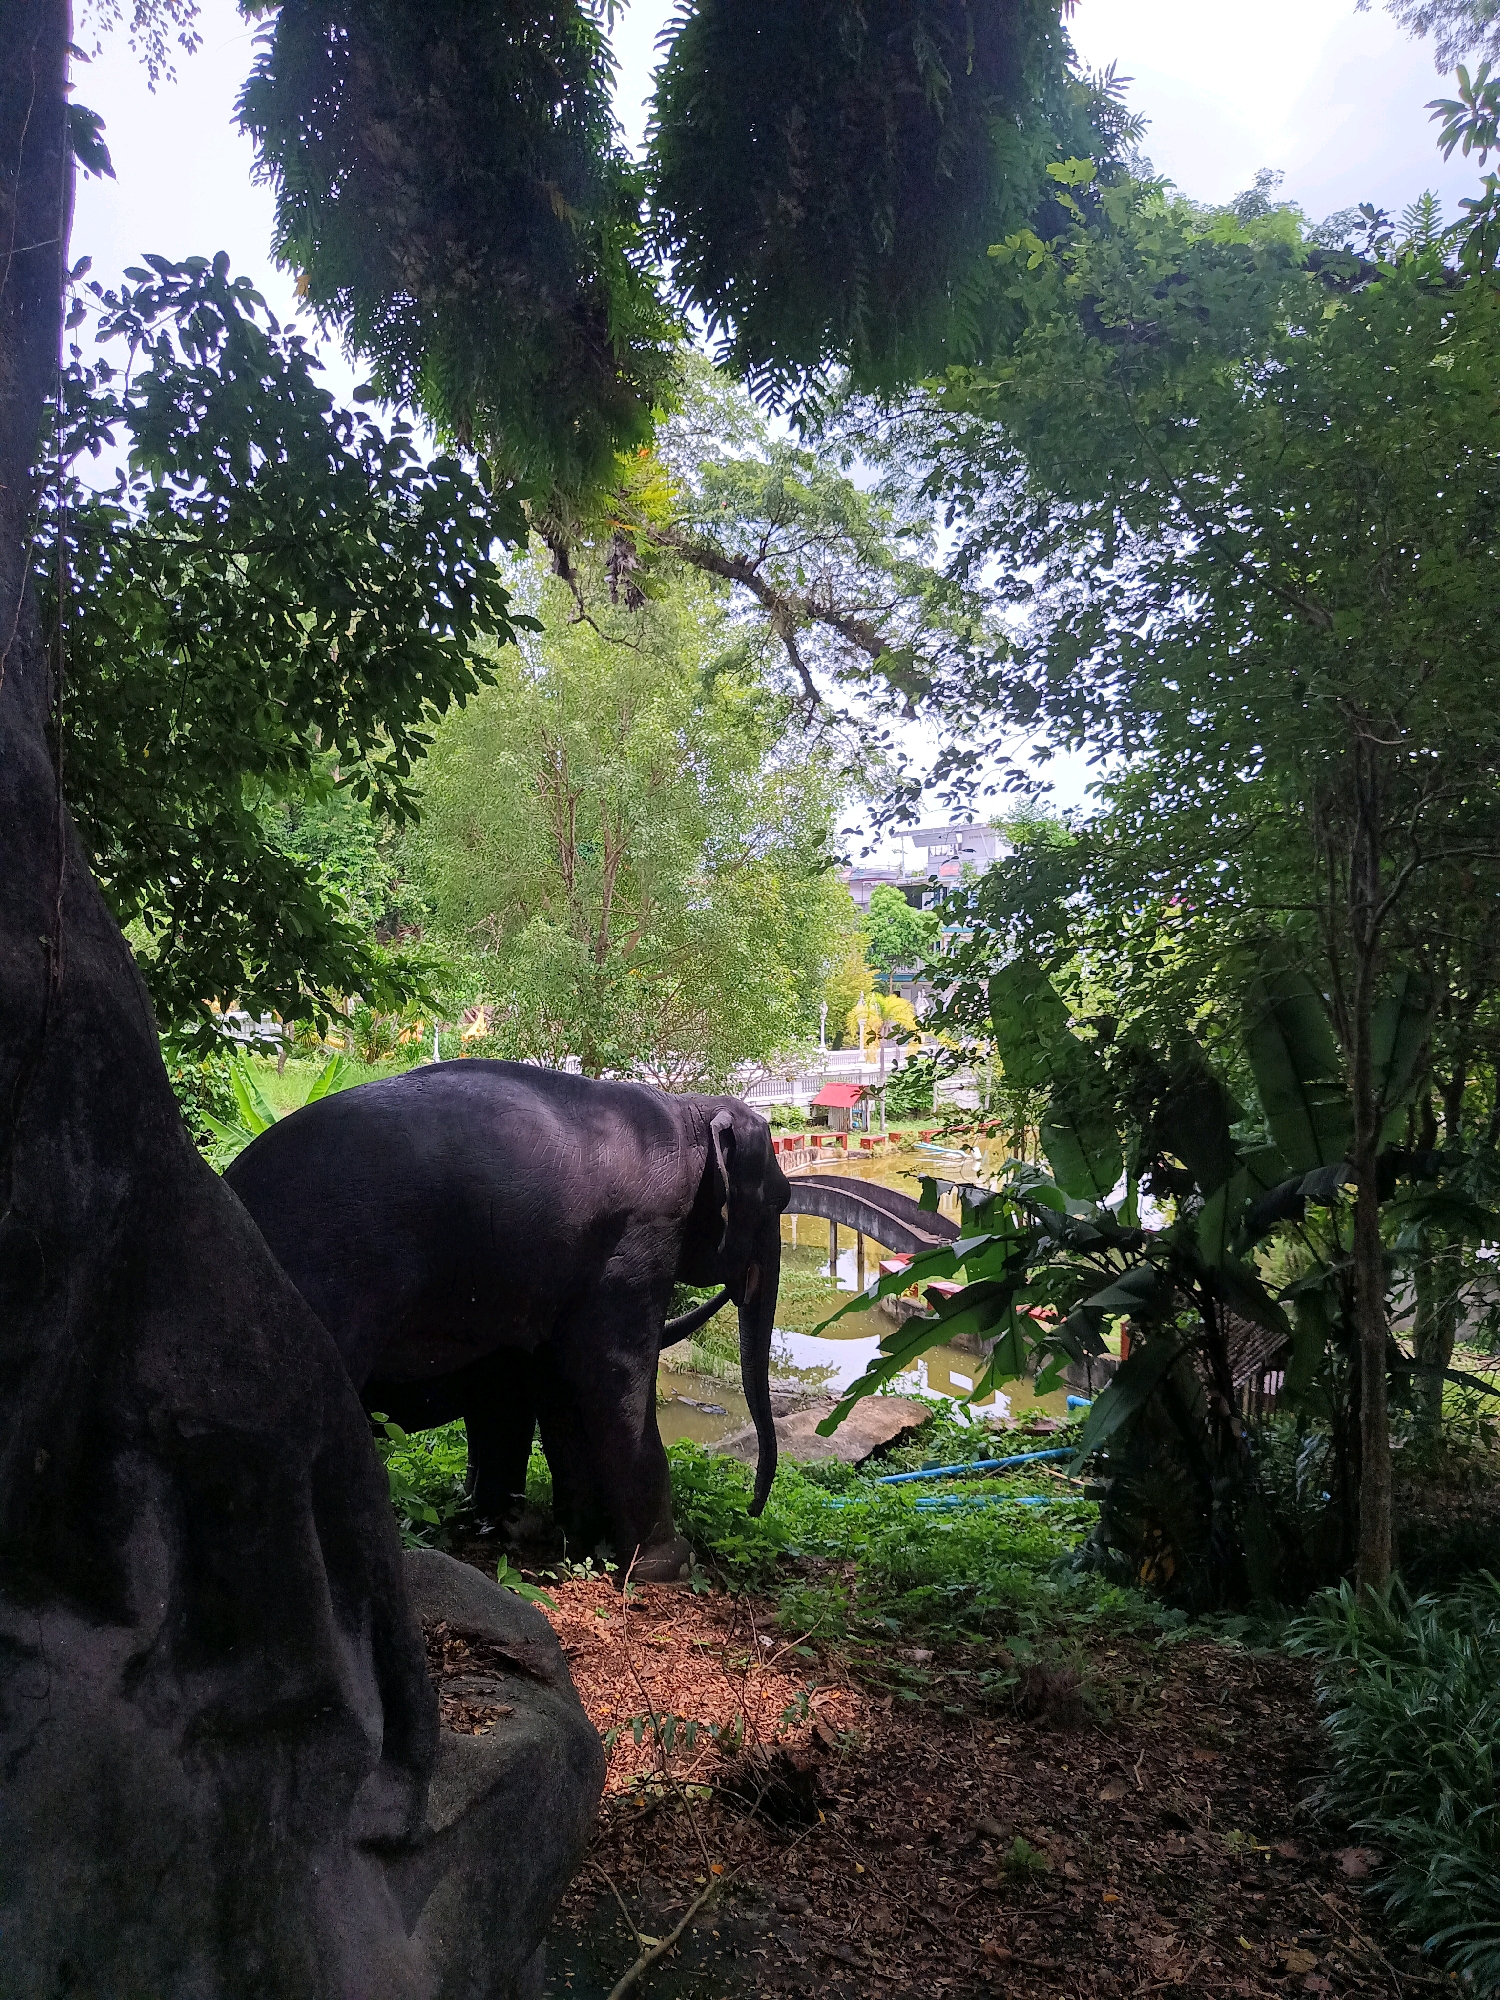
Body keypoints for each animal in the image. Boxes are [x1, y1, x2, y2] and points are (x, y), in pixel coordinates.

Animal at [224, 1060, 790, 1581]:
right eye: (781, 1201)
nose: (752, 1507)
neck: (688, 1112)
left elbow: (559, 1386)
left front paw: (571, 1539)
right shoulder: (634, 1240)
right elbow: (614, 1375)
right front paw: (666, 1566)